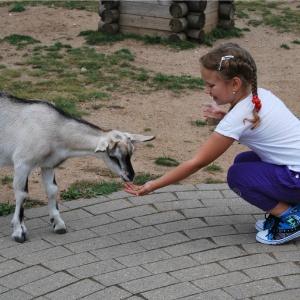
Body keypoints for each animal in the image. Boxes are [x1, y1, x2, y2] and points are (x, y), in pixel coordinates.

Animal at [0, 90, 155, 243]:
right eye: (113, 156)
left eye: (131, 152)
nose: (130, 176)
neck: (54, 130)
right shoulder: (22, 163)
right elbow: (22, 195)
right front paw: (19, 232)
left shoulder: (48, 164)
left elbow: (52, 190)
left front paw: (58, 224)